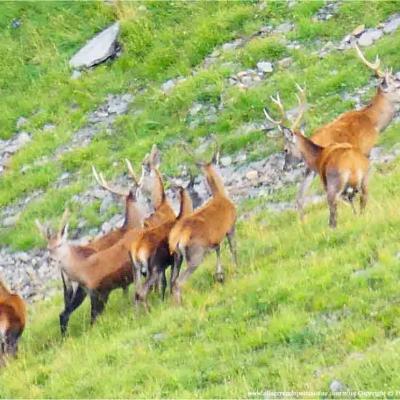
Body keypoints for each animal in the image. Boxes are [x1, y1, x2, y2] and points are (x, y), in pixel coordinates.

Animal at [169, 142, 238, 304]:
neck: (221, 196)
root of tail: (177, 239)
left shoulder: (215, 239)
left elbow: (218, 250)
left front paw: (220, 275)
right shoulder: (230, 226)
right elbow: (233, 249)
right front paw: (236, 268)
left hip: (177, 257)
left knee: (172, 281)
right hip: (195, 255)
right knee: (178, 282)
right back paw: (181, 304)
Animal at [264, 85, 370, 228]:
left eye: (285, 149)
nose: (284, 168)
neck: (317, 157)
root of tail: (353, 165)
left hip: (334, 185)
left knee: (333, 216)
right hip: (364, 180)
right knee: (363, 202)